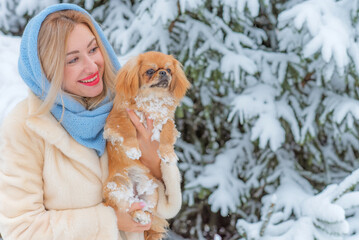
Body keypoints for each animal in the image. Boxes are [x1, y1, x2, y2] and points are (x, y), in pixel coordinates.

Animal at [102, 51, 191, 239]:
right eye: (150, 71)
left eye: (169, 70)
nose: (163, 73)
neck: (152, 101)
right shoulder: (119, 118)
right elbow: (128, 131)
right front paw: (133, 150)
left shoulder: (167, 121)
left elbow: (166, 135)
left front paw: (168, 154)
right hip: (118, 188)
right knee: (127, 208)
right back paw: (139, 215)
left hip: (151, 193)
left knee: (147, 211)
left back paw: (144, 216)